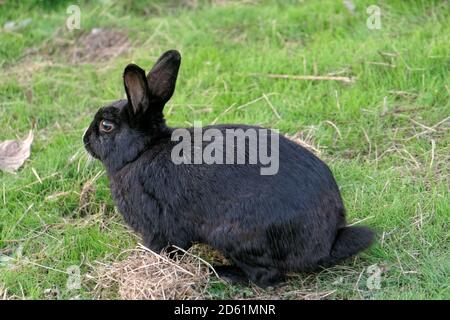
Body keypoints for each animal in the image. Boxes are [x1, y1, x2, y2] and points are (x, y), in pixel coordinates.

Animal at [83, 50, 372, 288]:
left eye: (106, 126)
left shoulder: (159, 228)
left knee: (266, 277)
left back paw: (222, 273)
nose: (85, 139)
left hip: (232, 236)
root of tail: (326, 242)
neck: (142, 150)